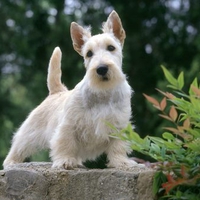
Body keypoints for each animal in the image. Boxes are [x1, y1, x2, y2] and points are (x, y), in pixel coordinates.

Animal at [3, 10, 142, 170]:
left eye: (111, 48)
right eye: (89, 53)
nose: (101, 69)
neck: (103, 92)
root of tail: (57, 91)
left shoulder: (119, 125)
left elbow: (118, 146)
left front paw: (121, 162)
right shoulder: (68, 125)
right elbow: (65, 142)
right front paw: (65, 161)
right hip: (29, 132)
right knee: (19, 145)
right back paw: (11, 162)